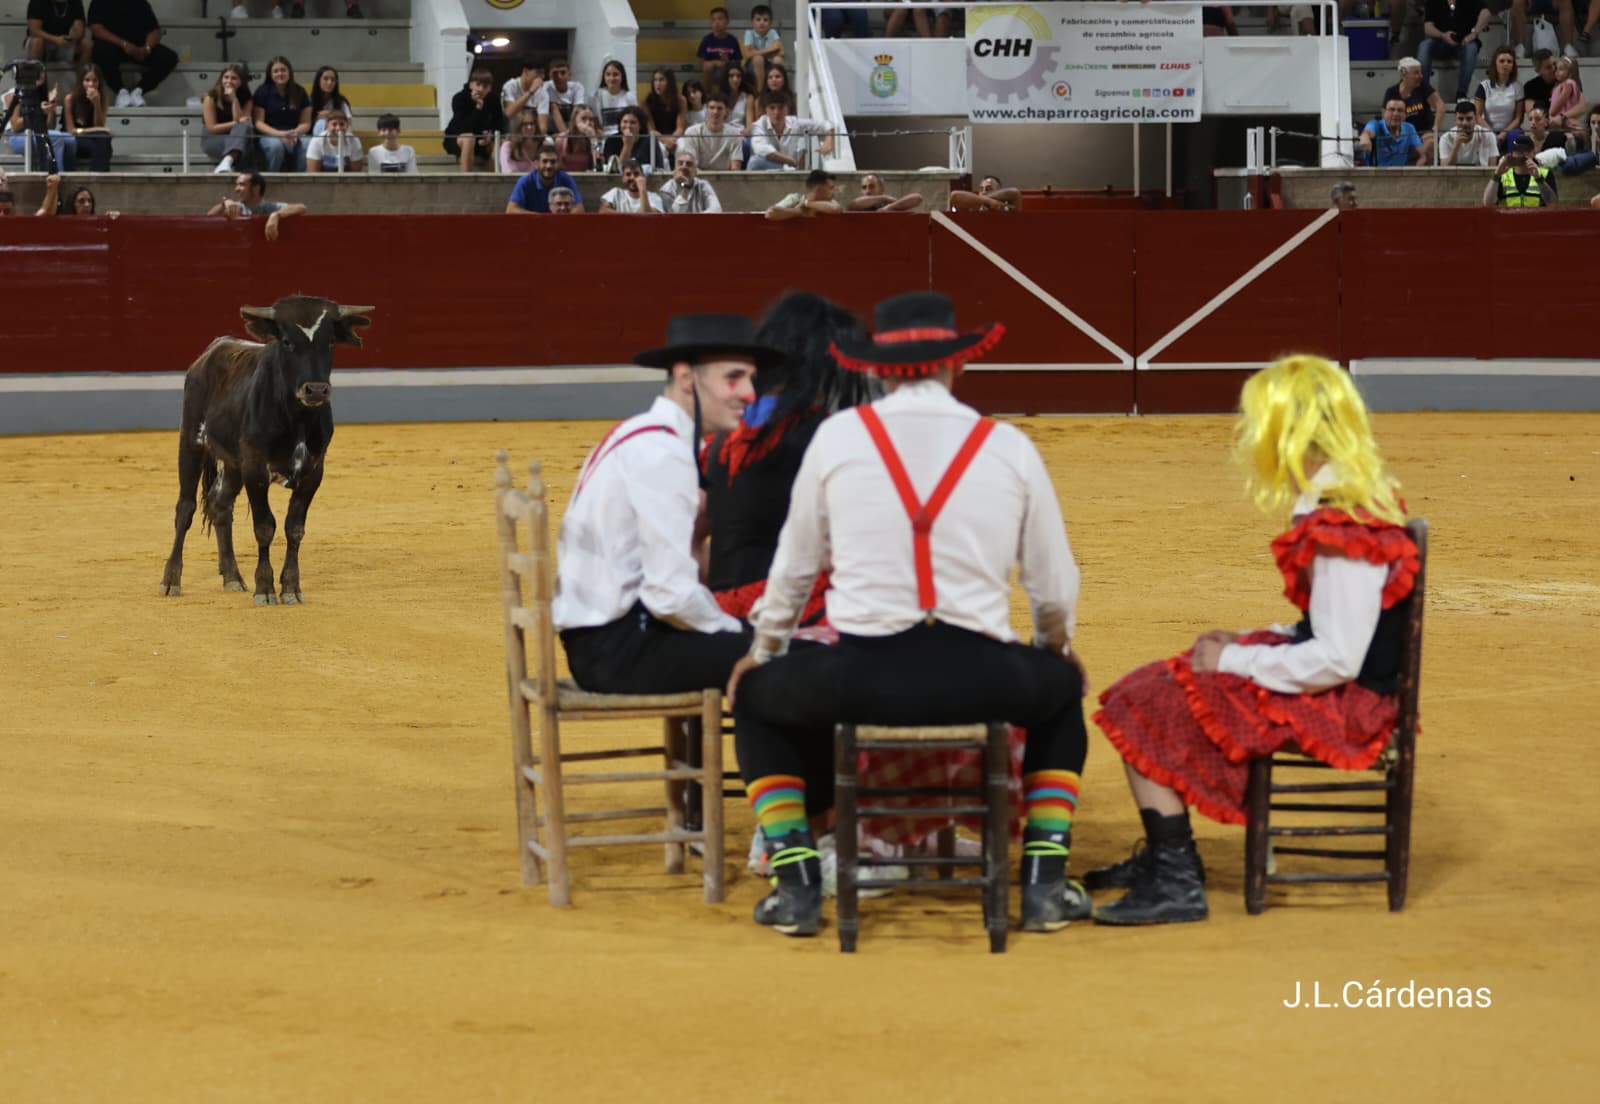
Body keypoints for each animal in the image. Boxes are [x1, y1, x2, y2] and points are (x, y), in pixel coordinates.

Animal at [159, 296, 373, 605]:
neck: (297, 418)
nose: (316, 390)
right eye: (286, 341)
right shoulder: (256, 469)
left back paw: (232, 576)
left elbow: (294, 528)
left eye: (331, 341)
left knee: (220, 504)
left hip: (234, 464)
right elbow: (264, 527)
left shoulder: (313, 472)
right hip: (191, 442)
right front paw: (265, 588)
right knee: (185, 508)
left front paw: (291, 587)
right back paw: (171, 580)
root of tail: (214, 348)